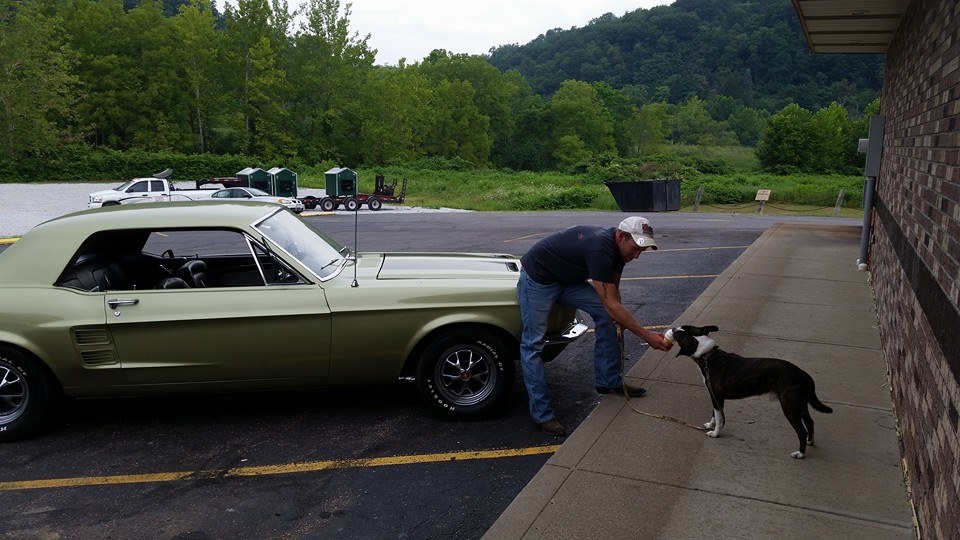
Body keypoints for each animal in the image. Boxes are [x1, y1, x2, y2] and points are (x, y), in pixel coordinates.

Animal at [665, 325, 833, 459]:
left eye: (679, 333)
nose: (673, 328)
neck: (708, 357)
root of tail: (803, 374)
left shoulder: (717, 396)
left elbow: (719, 417)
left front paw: (715, 433)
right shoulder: (714, 396)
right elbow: (714, 413)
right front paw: (710, 424)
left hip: (789, 405)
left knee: (801, 431)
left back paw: (800, 453)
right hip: (801, 402)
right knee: (810, 421)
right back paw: (810, 441)